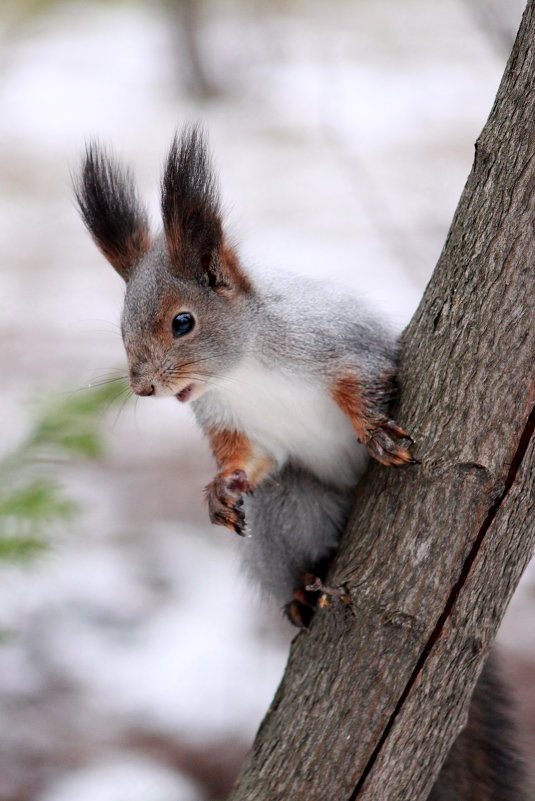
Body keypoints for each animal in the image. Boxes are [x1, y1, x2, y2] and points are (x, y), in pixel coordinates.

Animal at [74, 126, 414, 624]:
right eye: (122, 329)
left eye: (182, 322)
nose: (143, 387)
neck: (244, 371)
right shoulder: (227, 417)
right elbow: (249, 457)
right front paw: (221, 489)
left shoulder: (338, 343)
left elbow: (364, 377)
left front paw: (375, 432)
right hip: (288, 507)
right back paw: (304, 586)